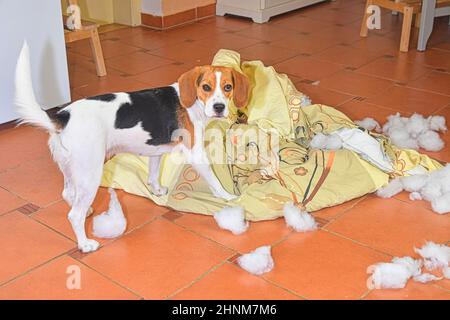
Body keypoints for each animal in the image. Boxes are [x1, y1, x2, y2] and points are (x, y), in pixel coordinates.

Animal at [14, 43, 250, 252]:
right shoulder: (196, 153)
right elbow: (214, 182)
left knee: (68, 195)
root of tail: (63, 115)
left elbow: (153, 175)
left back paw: (87, 210)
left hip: (72, 169)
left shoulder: (155, 150)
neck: (193, 104)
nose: (219, 107)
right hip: (91, 172)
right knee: (74, 214)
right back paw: (85, 244)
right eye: (206, 87)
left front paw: (157, 190)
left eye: (228, 87)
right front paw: (229, 197)